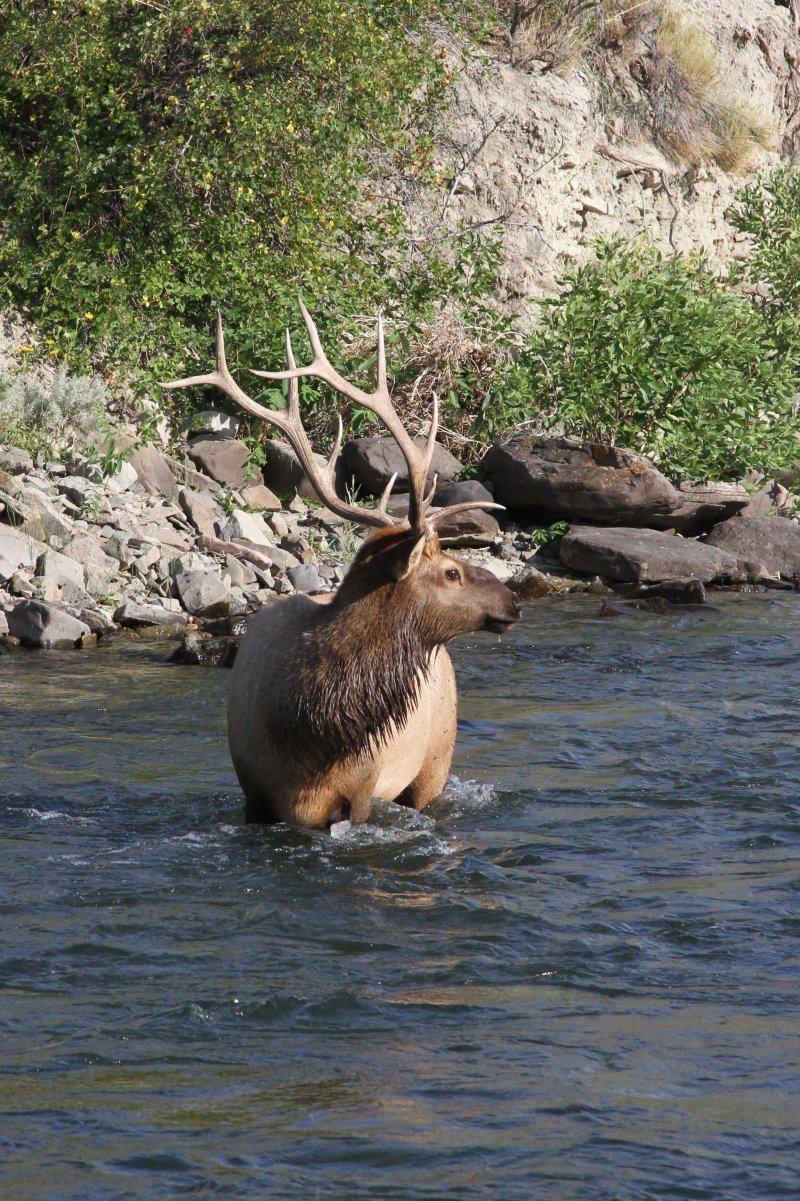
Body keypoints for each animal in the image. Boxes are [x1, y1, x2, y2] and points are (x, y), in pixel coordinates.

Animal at [164, 302, 521, 826]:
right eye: (452, 572)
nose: (513, 601)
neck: (311, 727)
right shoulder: (252, 791)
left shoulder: (361, 788)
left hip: (435, 761)